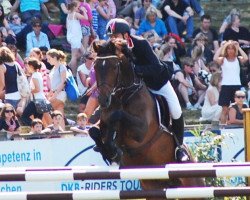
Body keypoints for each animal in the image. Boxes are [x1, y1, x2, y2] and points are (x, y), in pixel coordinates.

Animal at [92, 39, 205, 199]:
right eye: (95, 66)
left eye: (114, 67)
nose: (103, 100)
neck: (123, 96)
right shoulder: (103, 122)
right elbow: (94, 130)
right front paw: (109, 152)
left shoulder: (141, 130)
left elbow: (117, 115)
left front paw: (113, 152)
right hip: (152, 187)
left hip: (192, 185)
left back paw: (181, 154)